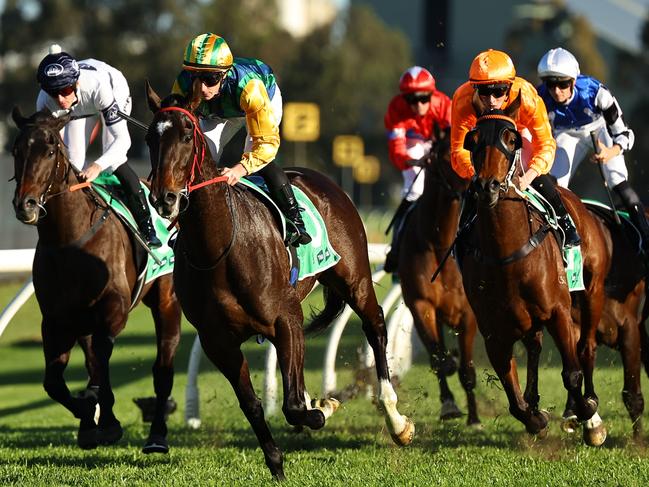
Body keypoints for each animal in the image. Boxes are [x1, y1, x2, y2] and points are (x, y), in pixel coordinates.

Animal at [10, 108, 182, 456]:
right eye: (16, 151)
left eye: (50, 150)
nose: (26, 204)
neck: (70, 241)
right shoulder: (56, 320)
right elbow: (54, 382)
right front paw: (90, 417)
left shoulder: (113, 310)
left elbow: (102, 360)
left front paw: (104, 416)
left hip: (166, 298)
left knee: (162, 368)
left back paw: (157, 435)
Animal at [144, 84, 412, 480]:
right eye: (150, 136)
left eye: (187, 135)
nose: (165, 198)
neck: (220, 247)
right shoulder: (218, 342)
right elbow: (254, 405)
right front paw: (276, 463)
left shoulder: (285, 321)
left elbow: (293, 405)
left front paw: (323, 406)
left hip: (355, 279)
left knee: (375, 325)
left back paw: (396, 421)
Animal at [394, 127, 480, 426]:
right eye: (446, 157)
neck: (439, 244)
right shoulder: (421, 305)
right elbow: (439, 359)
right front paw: (450, 406)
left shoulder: (468, 313)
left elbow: (467, 369)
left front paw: (474, 418)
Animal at [458, 102, 612, 446]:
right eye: (473, 140)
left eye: (511, 138)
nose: (487, 187)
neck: (506, 251)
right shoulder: (493, 330)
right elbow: (514, 400)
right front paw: (536, 417)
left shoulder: (558, 312)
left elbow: (571, 373)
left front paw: (587, 413)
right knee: (534, 347)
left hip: (592, 291)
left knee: (586, 348)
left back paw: (591, 415)